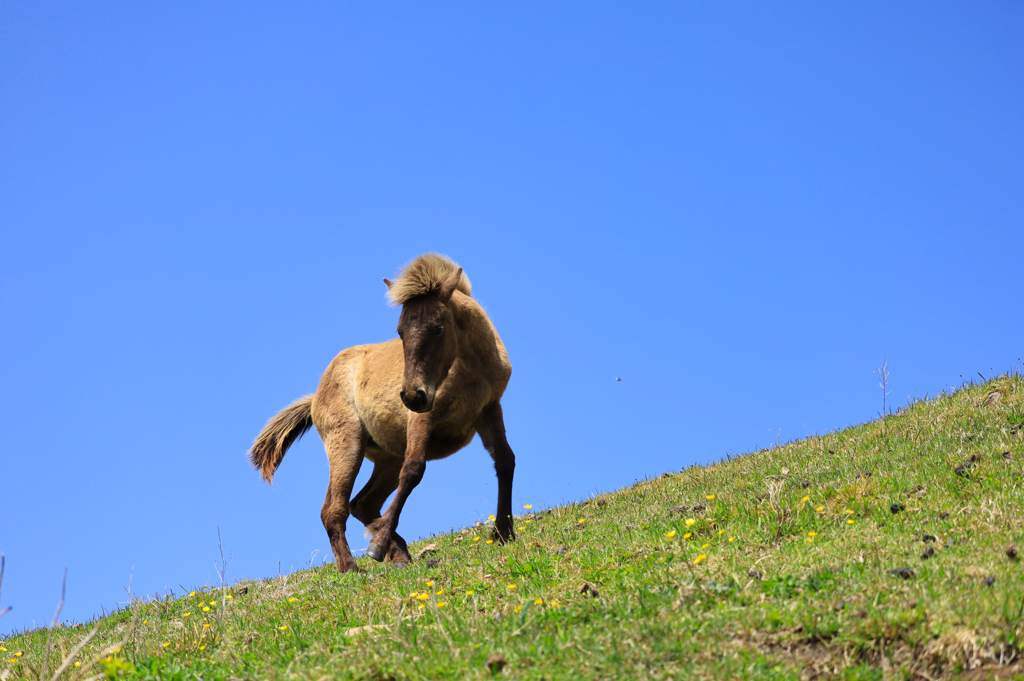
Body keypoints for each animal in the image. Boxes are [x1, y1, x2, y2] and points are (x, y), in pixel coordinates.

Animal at [248, 251, 520, 569]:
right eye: (400, 331)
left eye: (438, 328)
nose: (412, 395)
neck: (471, 369)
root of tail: (315, 397)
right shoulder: (423, 418)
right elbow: (414, 471)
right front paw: (376, 547)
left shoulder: (489, 409)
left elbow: (505, 461)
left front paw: (503, 533)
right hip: (347, 445)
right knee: (334, 509)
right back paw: (352, 568)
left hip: (387, 458)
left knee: (363, 503)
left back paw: (399, 554)